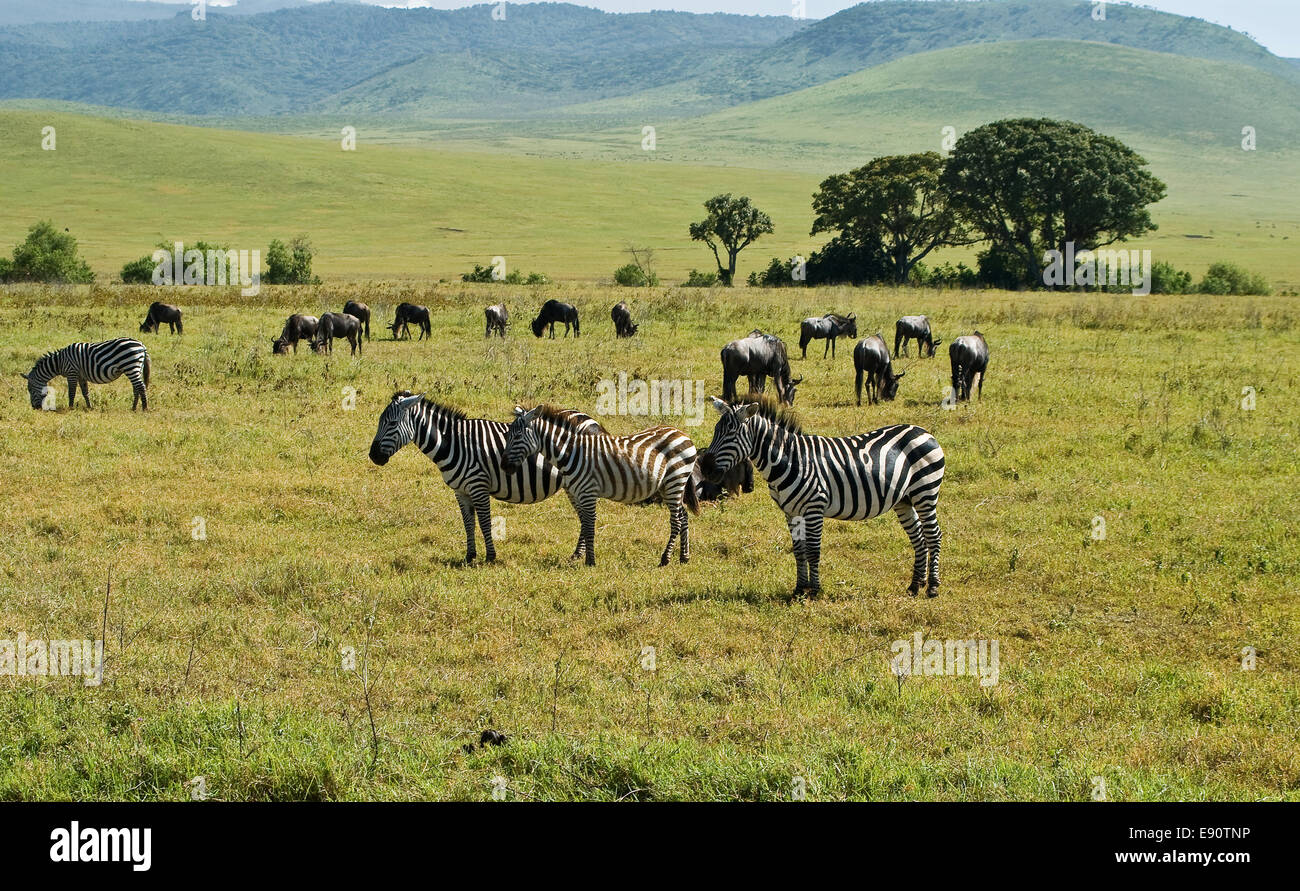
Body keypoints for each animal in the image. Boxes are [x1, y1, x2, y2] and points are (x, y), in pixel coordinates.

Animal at [21, 338, 150, 411]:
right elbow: (85, 392)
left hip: (131, 366)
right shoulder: (81, 376)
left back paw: (144, 408)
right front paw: (89, 407)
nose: (34, 408)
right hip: (136, 368)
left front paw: (70, 408)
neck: (60, 362)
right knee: (136, 388)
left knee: (141, 387)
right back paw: (133, 408)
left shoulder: (72, 372)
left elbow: (71, 392)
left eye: (30, 389)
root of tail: (141, 345)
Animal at [369, 390, 605, 561]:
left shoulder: (478, 486)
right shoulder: (460, 491)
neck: (454, 443)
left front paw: (490, 557)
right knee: (583, 516)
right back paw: (578, 554)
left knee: (586, 515)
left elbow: (483, 522)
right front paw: (470, 556)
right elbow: (468, 523)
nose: (373, 456)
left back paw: (580, 555)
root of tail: (592, 420)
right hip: (572, 484)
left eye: (391, 423)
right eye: (380, 422)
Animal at [501, 405, 702, 567]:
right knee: (683, 516)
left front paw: (590, 561)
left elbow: (590, 526)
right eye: (508, 435)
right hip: (669, 485)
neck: (571, 452)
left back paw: (665, 559)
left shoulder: (588, 492)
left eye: (517, 436)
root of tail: (682, 433)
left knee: (676, 520)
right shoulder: (577, 492)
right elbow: (584, 523)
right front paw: (582, 556)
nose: (504, 466)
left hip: (675, 480)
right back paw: (684, 557)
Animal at [702, 395, 946, 598]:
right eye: (715, 430)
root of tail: (923, 431)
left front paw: (815, 591)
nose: (705, 469)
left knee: (933, 535)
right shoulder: (791, 512)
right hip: (904, 500)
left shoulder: (814, 508)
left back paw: (932, 587)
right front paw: (799, 590)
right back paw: (915, 586)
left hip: (925, 492)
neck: (790, 459)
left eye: (732, 433)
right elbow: (799, 551)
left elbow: (813, 551)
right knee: (918, 538)